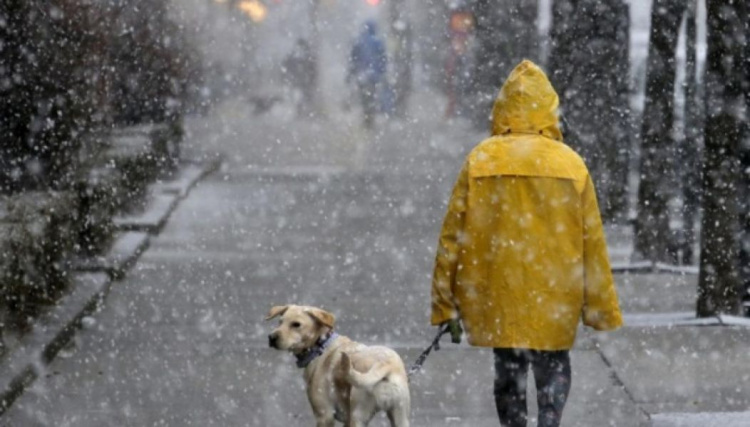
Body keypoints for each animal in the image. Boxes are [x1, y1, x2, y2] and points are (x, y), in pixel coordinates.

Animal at [268, 306, 412, 426]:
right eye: (280, 322)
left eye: (296, 324)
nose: (271, 338)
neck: (321, 345)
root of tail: (385, 364)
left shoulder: (324, 415)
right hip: (400, 417)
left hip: (357, 417)